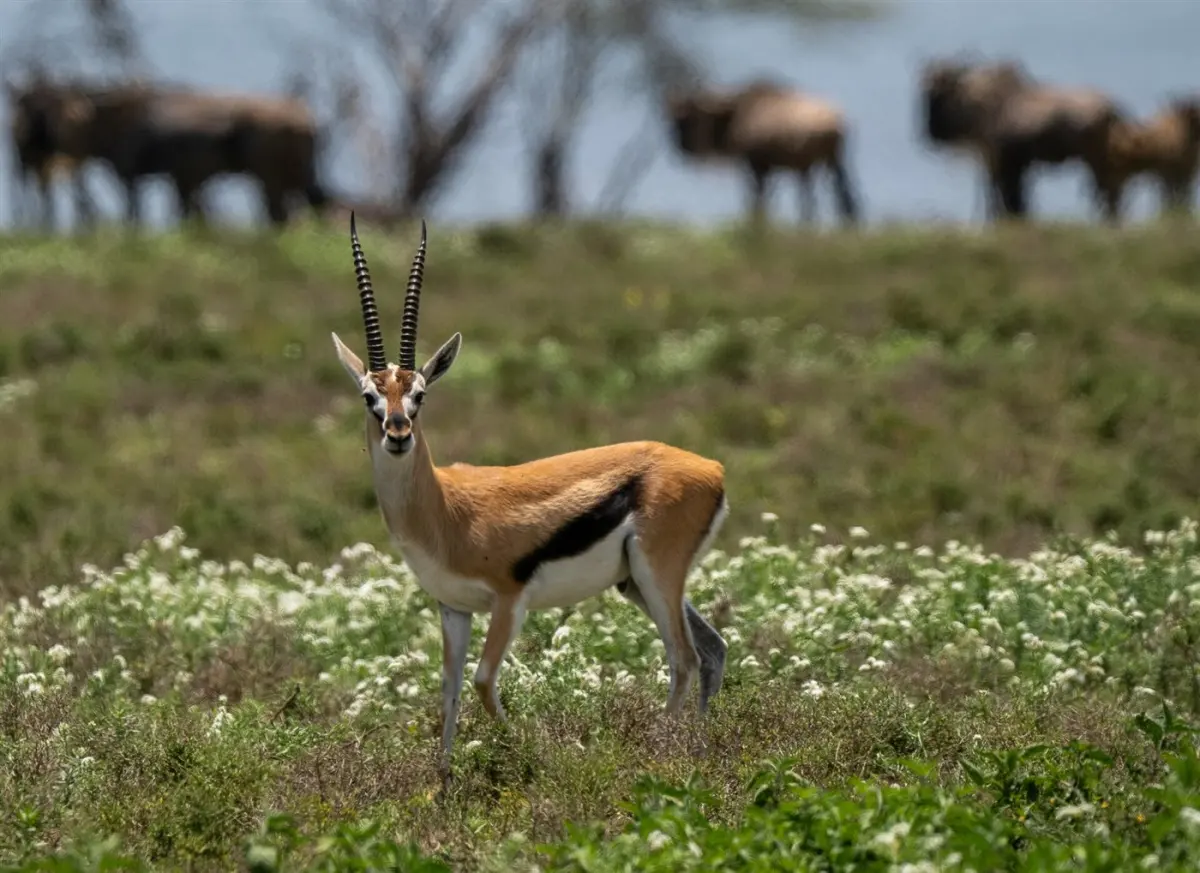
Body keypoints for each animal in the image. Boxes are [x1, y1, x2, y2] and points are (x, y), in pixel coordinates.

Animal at [331, 216, 730, 785]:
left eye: (420, 394)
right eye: (370, 396)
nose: (399, 434)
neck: (444, 510)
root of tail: (709, 468)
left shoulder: (508, 600)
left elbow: (481, 682)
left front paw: (535, 758)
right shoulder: (453, 608)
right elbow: (449, 692)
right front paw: (443, 786)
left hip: (657, 574)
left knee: (684, 658)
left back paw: (659, 755)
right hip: (636, 582)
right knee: (713, 649)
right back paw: (696, 750)